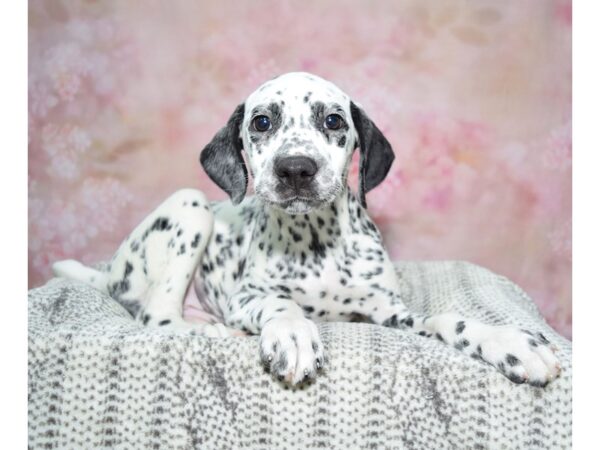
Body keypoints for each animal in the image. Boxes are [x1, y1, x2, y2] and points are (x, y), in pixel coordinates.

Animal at [52, 70, 564, 386]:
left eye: (333, 120)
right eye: (262, 122)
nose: (295, 168)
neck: (316, 244)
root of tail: (108, 272)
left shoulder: (389, 312)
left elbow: (445, 318)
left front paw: (507, 342)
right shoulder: (247, 298)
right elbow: (282, 304)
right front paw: (293, 334)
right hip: (191, 207)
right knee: (157, 319)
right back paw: (215, 333)